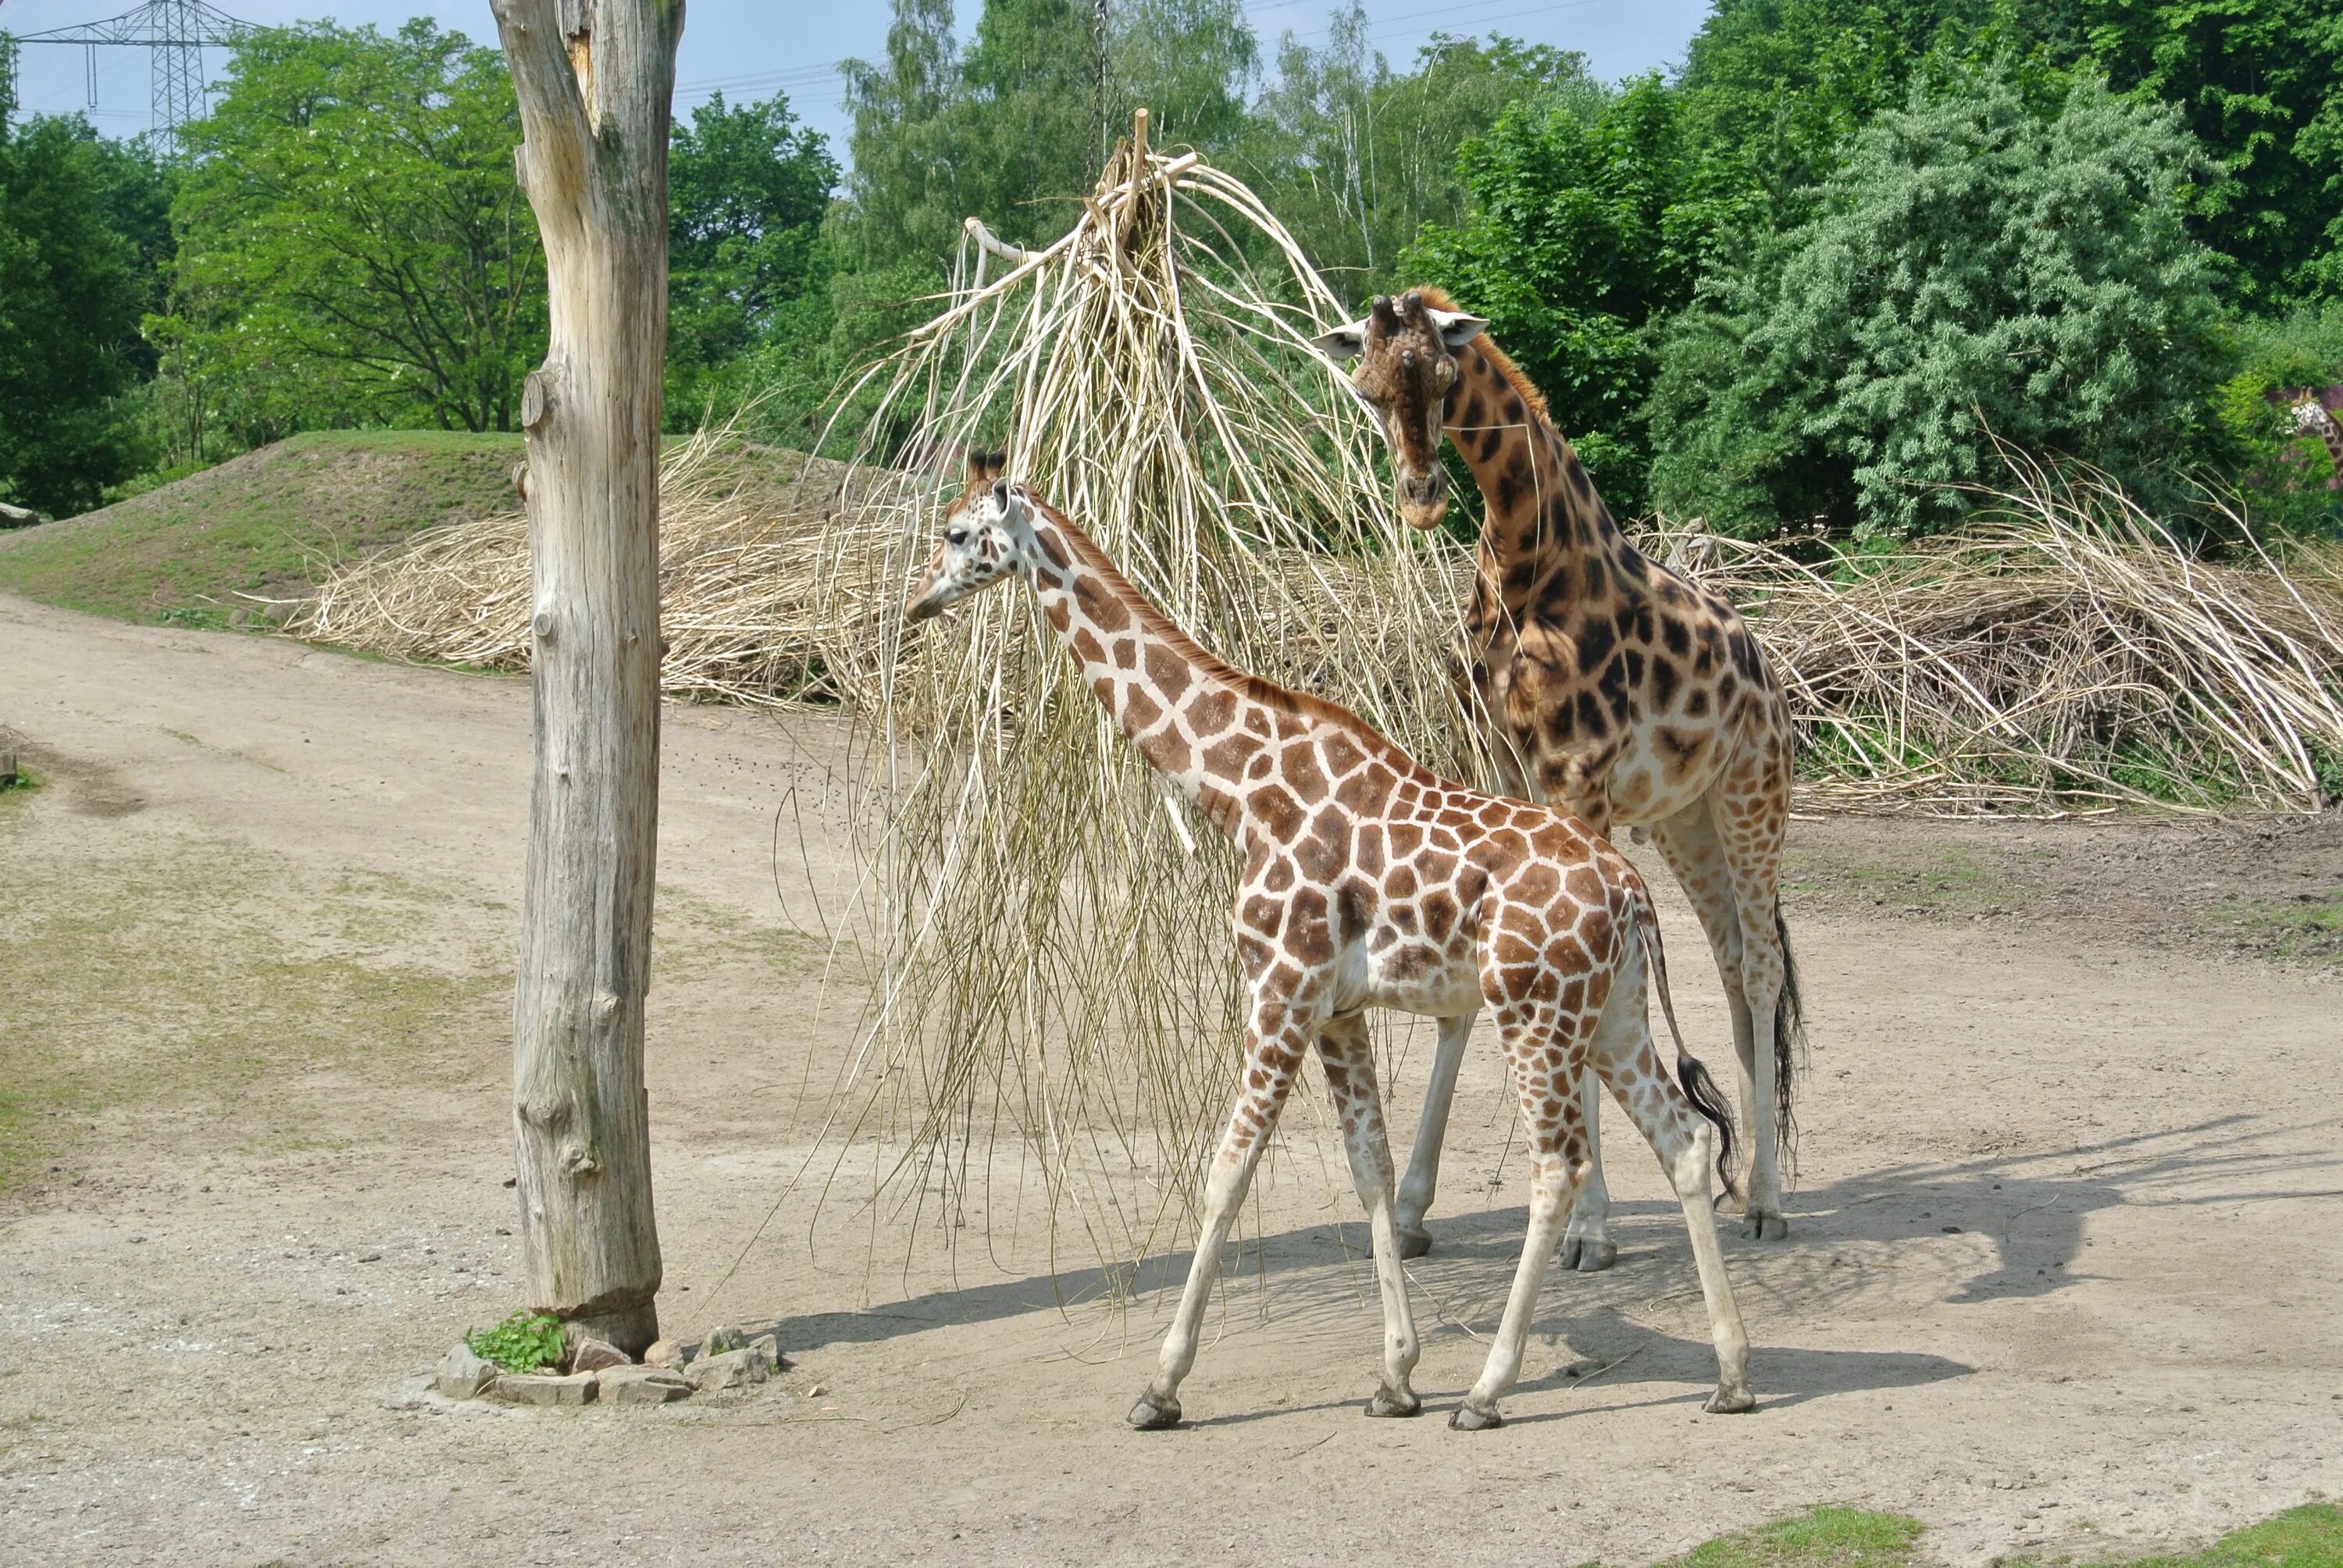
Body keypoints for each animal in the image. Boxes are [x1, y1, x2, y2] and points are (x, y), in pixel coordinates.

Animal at [904, 452, 1753, 1434]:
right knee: (1682, 1142)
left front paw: (1161, 1385)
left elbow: (1226, 1172)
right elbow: (1370, 1171)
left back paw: (1488, 1390)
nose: (918, 602)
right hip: (1612, 1015)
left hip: (1534, 1014)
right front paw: (1395, 1376)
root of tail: (1632, 893)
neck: (1239, 790)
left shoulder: (1279, 986)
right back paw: (1730, 1376)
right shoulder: (1339, 1009)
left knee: (1558, 1167)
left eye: (959, 533)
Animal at [1321, 284, 1809, 1256]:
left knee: (1764, 968)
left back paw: (1771, 1201)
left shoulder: (1577, 777)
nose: (1423, 498)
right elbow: (1467, 992)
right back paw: (1744, 1185)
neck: (1526, 564)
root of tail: (1768, 674)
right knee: (1734, 963)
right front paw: (1411, 1210)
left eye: (1444, 375)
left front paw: (1590, 1228)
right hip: (1685, 819)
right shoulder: (1501, 769)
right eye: (1367, 388)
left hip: (1752, 794)